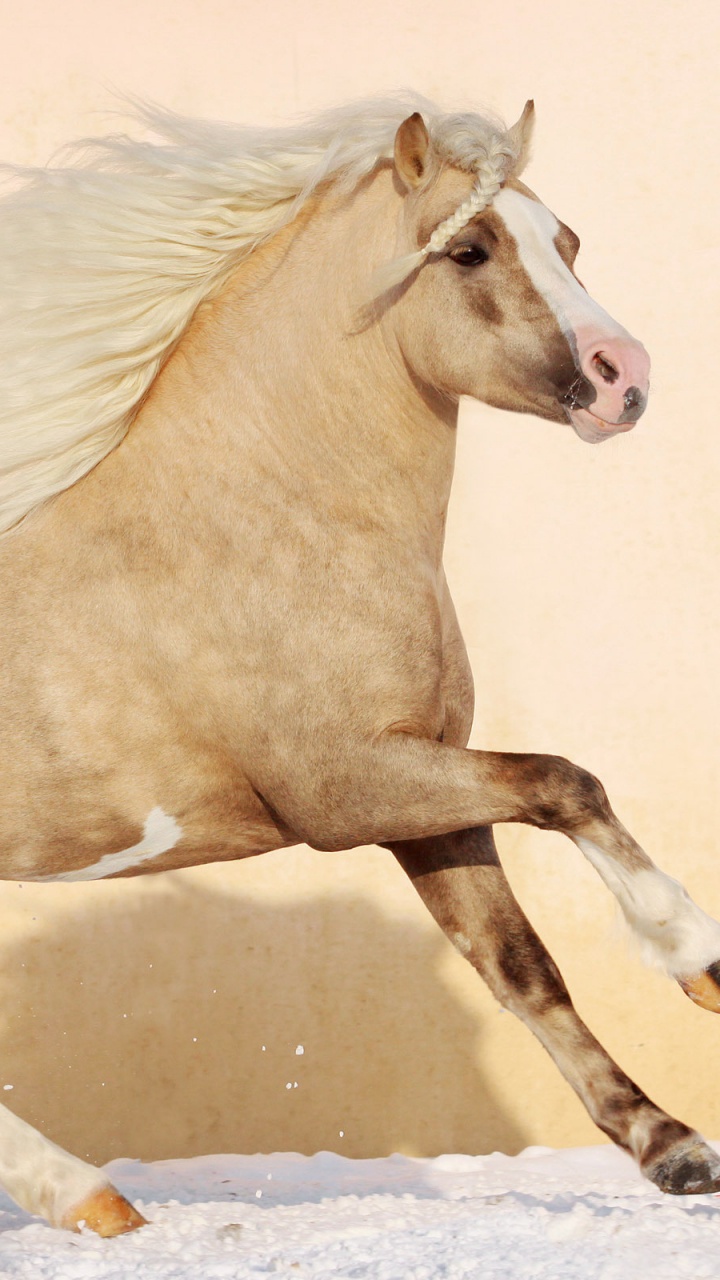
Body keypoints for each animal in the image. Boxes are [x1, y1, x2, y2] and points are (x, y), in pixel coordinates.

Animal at [1, 92, 720, 1237]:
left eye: (567, 241)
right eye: (469, 250)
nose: (629, 381)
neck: (269, 513)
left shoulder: (425, 793)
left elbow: (523, 965)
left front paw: (675, 1147)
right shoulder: (347, 790)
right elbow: (567, 781)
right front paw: (696, 958)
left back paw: (93, 1200)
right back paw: (90, 1197)